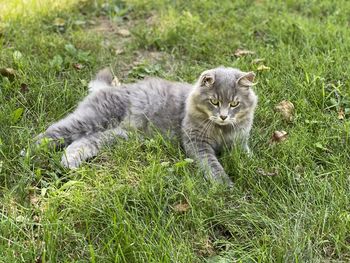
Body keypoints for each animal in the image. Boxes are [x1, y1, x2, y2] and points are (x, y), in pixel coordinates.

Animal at [35, 67, 258, 187]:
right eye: (214, 102)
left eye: (234, 104)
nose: (223, 116)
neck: (221, 130)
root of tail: (110, 87)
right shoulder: (197, 142)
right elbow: (212, 165)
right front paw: (224, 184)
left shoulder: (240, 141)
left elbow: (246, 154)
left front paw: (252, 165)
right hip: (92, 119)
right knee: (52, 132)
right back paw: (32, 152)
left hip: (116, 135)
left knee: (82, 142)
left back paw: (69, 163)